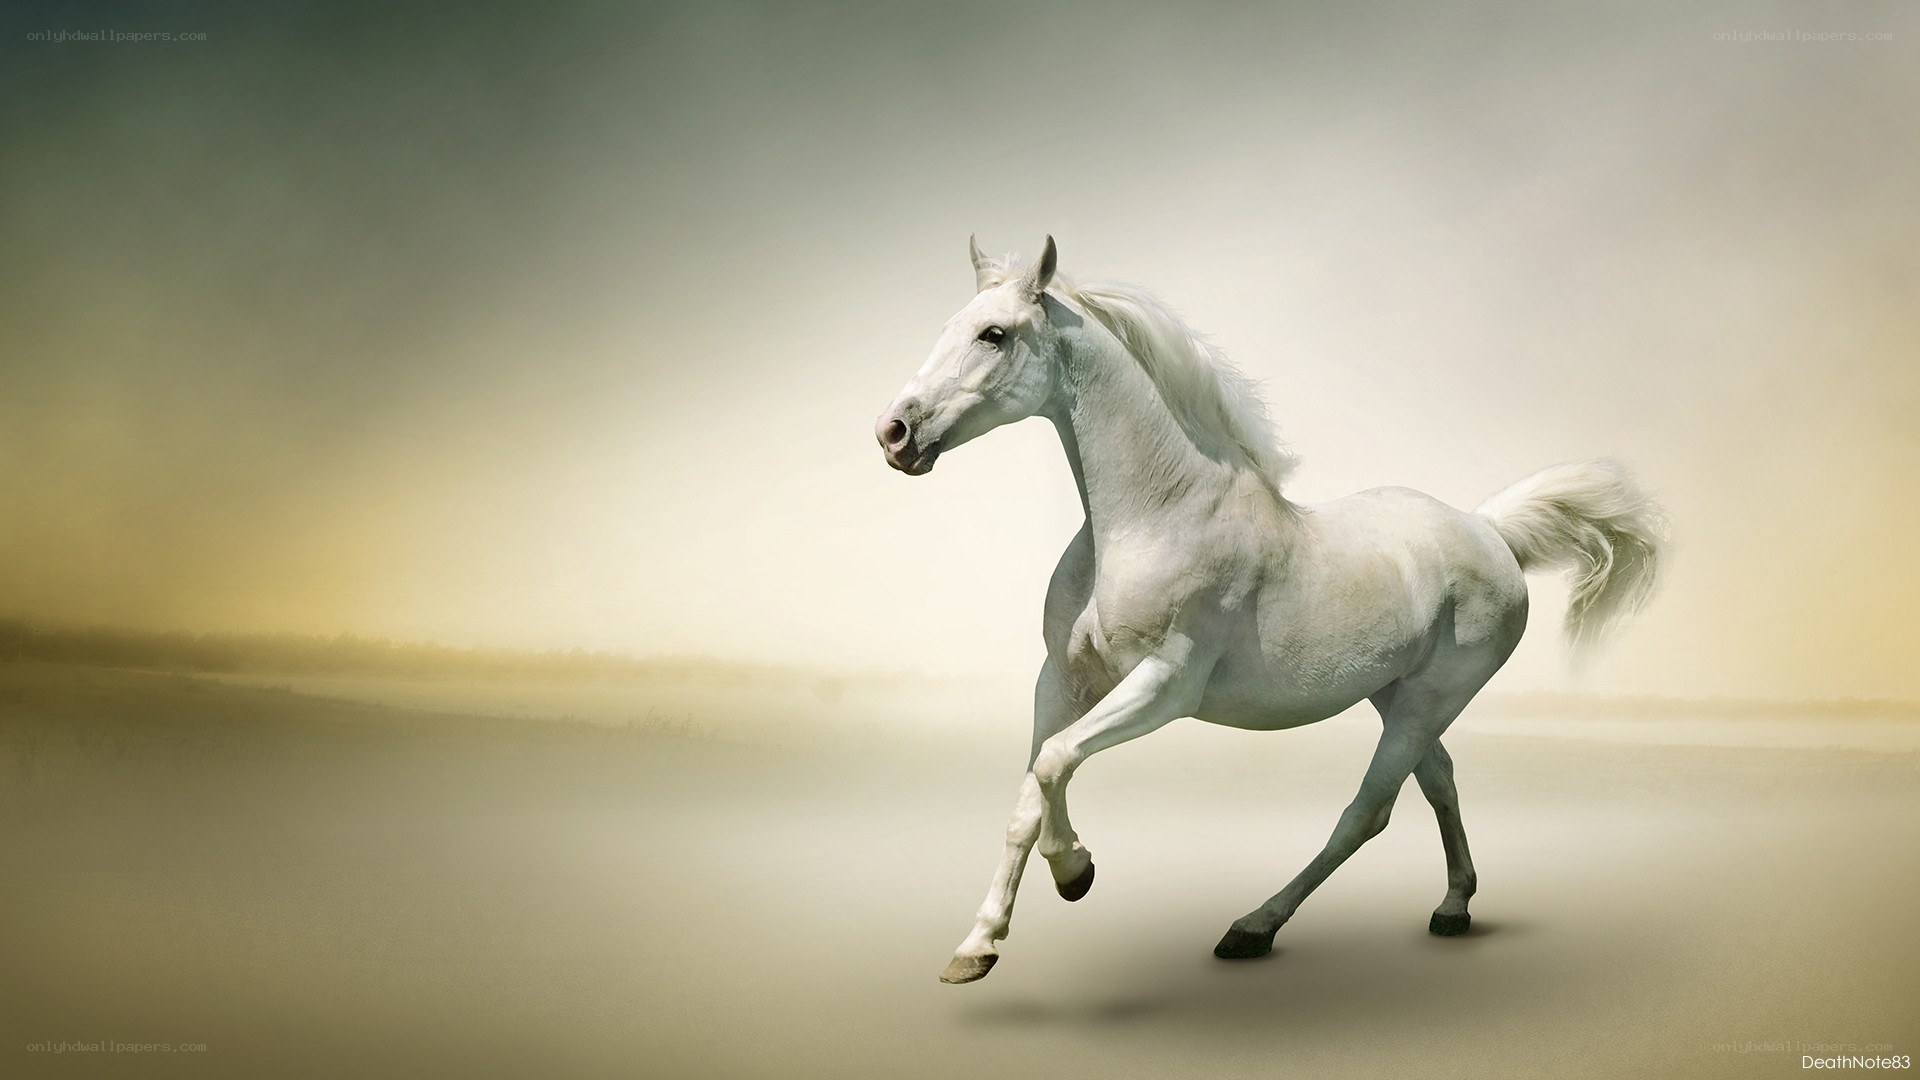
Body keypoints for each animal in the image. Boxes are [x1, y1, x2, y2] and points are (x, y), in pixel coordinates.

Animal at [874, 236, 1667, 985]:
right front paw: (976, 948)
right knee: (1439, 779)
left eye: (994, 334)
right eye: (951, 325)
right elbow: (1030, 791)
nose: (894, 433)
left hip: (1430, 699)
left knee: (1368, 811)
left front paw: (1076, 873)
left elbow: (1055, 763)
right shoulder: (1062, 681)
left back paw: (1253, 928)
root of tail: (1489, 530)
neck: (1155, 517)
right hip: (1394, 694)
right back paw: (1453, 906)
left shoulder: (1165, 686)